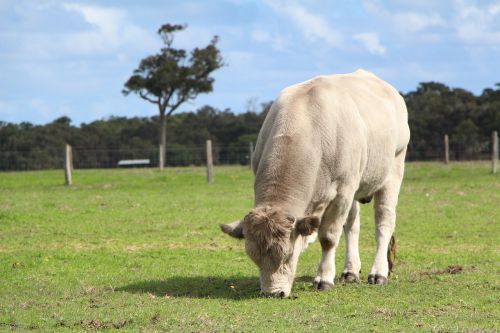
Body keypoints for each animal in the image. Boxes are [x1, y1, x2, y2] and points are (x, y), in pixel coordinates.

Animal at [221, 68, 408, 296]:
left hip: (392, 171)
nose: (273, 293)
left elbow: (328, 238)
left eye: (288, 255)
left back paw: (379, 273)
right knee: (352, 226)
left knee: (383, 223)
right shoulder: (346, 191)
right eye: (254, 258)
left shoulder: (342, 193)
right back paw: (351, 271)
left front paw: (324, 278)